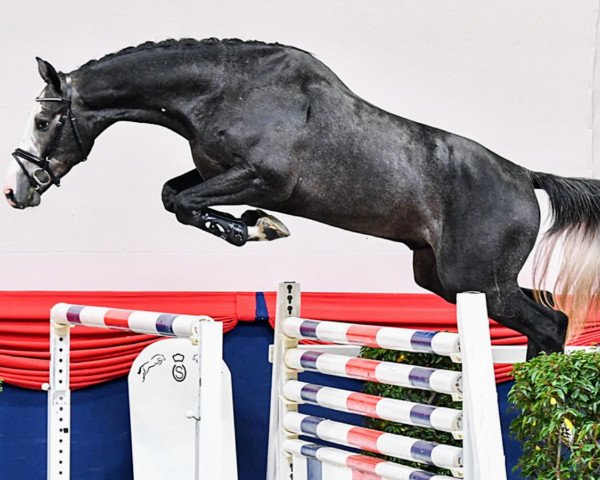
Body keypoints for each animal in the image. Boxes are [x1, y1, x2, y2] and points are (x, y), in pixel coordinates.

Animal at [5, 39, 600, 358]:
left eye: (43, 121)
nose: (16, 192)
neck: (221, 90)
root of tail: (525, 177)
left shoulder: (261, 177)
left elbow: (184, 203)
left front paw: (256, 226)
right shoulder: (217, 171)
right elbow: (174, 195)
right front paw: (252, 225)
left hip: (477, 283)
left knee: (550, 322)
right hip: (443, 277)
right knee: (548, 314)